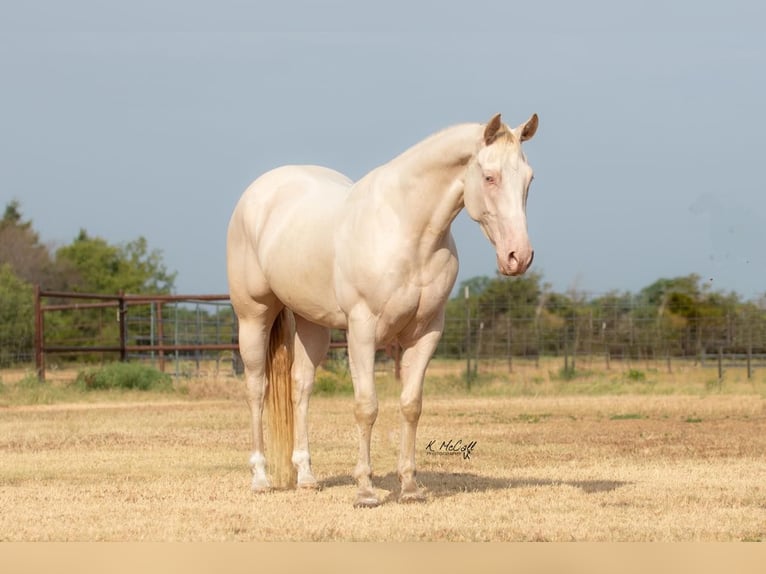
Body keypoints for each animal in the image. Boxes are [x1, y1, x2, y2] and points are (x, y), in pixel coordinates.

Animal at [226, 113, 540, 508]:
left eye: (529, 179)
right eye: (489, 177)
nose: (519, 257)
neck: (408, 229)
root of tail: (259, 192)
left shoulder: (426, 333)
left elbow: (410, 405)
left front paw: (409, 487)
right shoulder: (362, 330)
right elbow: (367, 406)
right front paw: (365, 490)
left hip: (312, 325)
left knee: (301, 389)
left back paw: (307, 477)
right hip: (253, 316)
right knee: (256, 389)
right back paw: (260, 478)